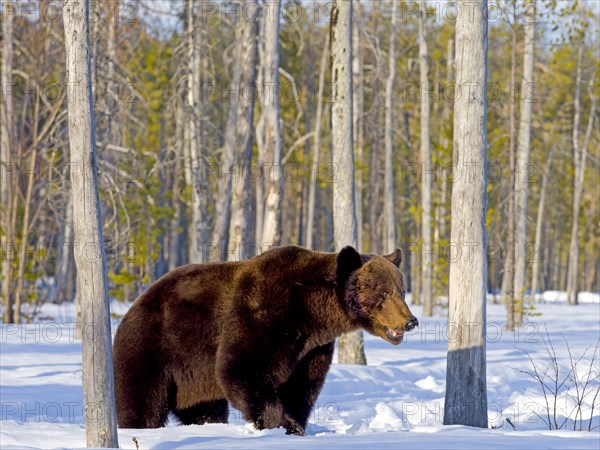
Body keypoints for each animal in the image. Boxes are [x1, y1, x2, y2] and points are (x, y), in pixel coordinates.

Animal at [115, 244, 420, 434]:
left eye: (401, 289)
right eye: (383, 292)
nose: (411, 321)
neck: (311, 313)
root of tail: (134, 305)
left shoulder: (311, 348)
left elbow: (302, 386)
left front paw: (295, 424)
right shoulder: (262, 317)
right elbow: (242, 370)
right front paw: (281, 423)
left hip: (193, 378)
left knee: (203, 409)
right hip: (154, 349)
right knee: (142, 403)